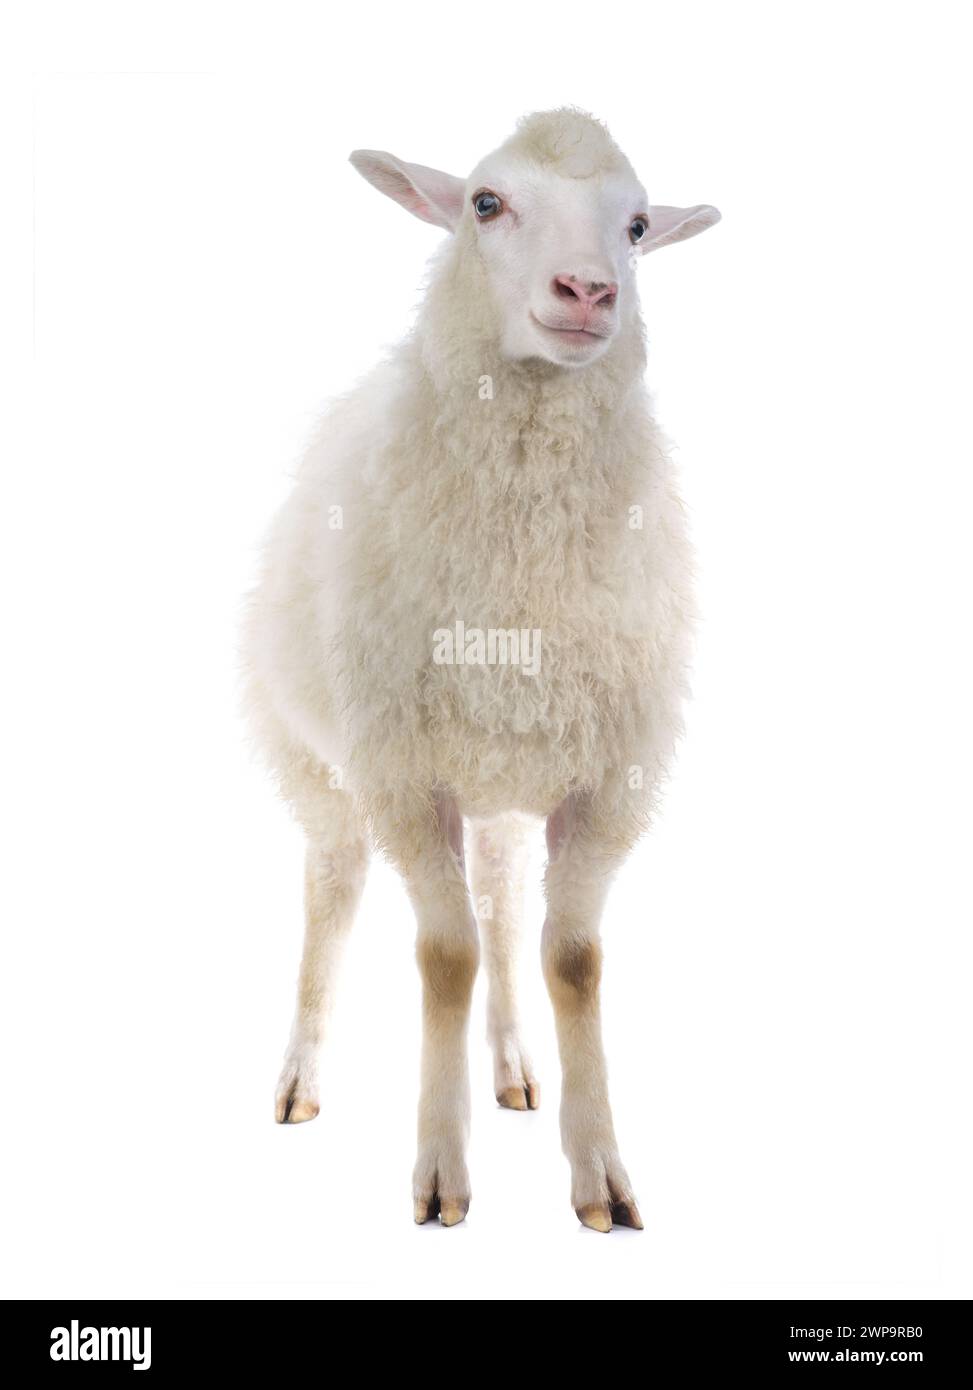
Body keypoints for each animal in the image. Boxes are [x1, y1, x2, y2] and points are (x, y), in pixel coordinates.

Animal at [243, 108, 719, 1231]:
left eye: (638, 225)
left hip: (502, 776)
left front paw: (599, 1174)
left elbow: (571, 960)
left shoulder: (607, 781)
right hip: (319, 766)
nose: (587, 291)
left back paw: (510, 1064)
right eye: (484, 204)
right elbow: (444, 956)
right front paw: (439, 1171)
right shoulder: (405, 776)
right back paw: (300, 1075)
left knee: (503, 910)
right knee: (333, 893)